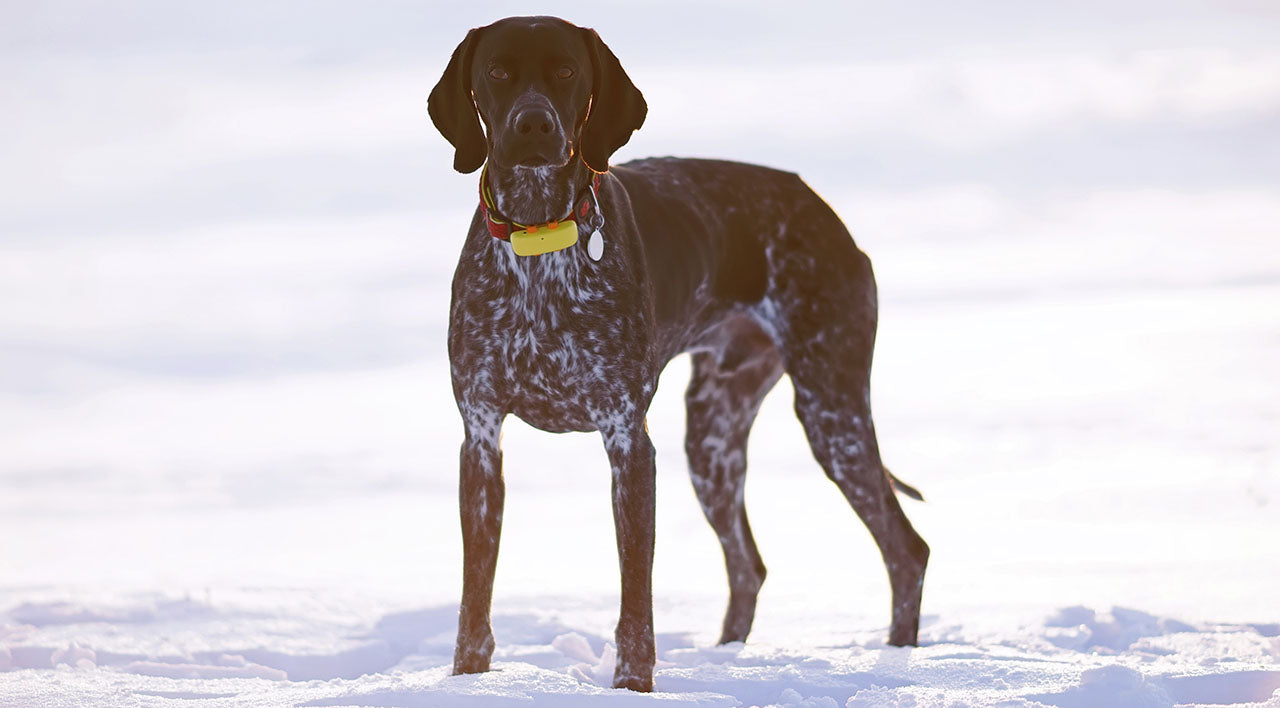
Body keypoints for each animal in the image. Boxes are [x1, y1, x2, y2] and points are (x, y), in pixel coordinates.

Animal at [430, 15, 931, 691]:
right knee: (750, 566)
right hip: (713, 438)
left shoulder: (628, 440)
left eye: (566, 70)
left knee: (906, 550)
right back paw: (729, 656)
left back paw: (899, 662)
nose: (533, 126)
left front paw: (633, 687)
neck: (540, 242)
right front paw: (468, 679)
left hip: (832, 412)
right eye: (497, 72)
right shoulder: (481, 438)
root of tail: (823, 210)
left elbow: (635, 599)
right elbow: (475, 597)